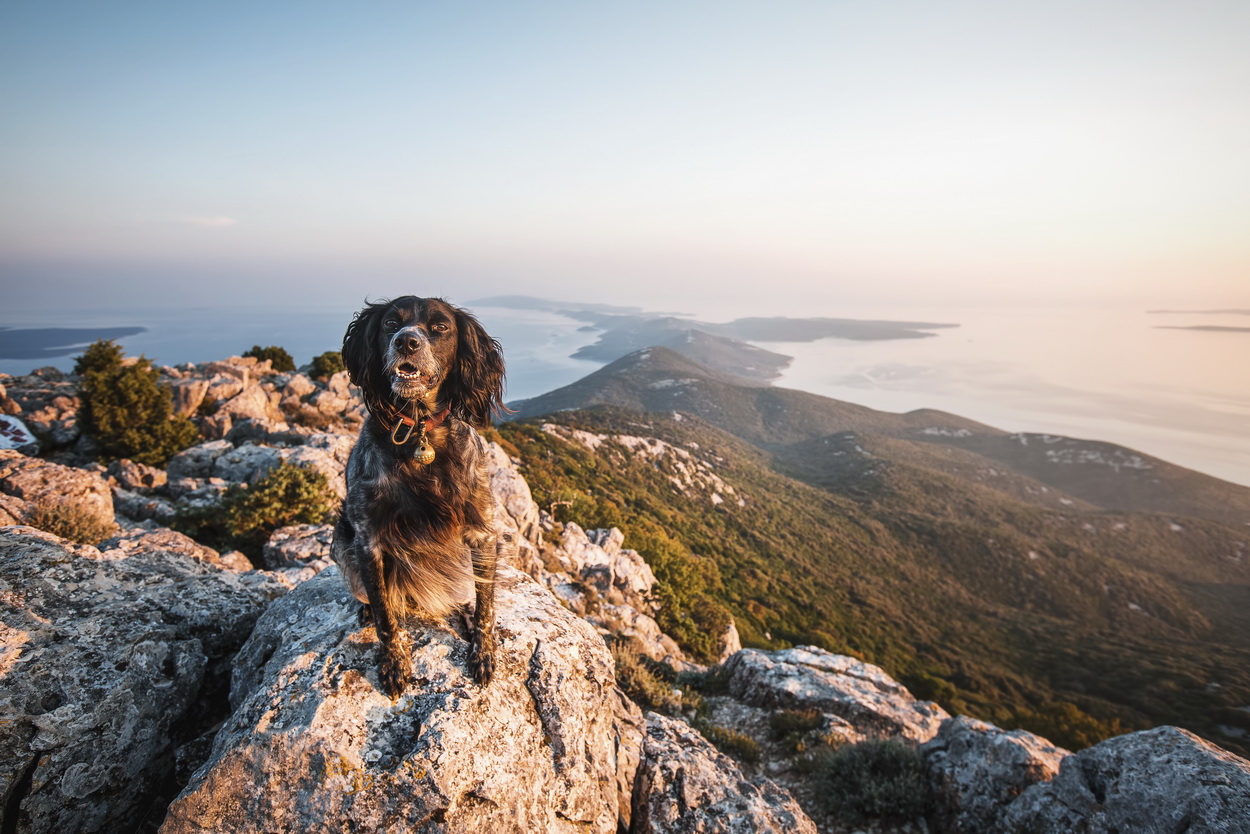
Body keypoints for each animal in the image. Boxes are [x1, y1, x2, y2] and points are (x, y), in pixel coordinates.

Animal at [332, 296, 507, 700]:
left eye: (440, 327)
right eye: (390, 324)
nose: (406, 342)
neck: (418, 433)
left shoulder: (482, 532)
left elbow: (486, 606)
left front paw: (484, 652)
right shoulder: (367, 540)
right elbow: (386, 617)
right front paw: (394, 664)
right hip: (342, 539)